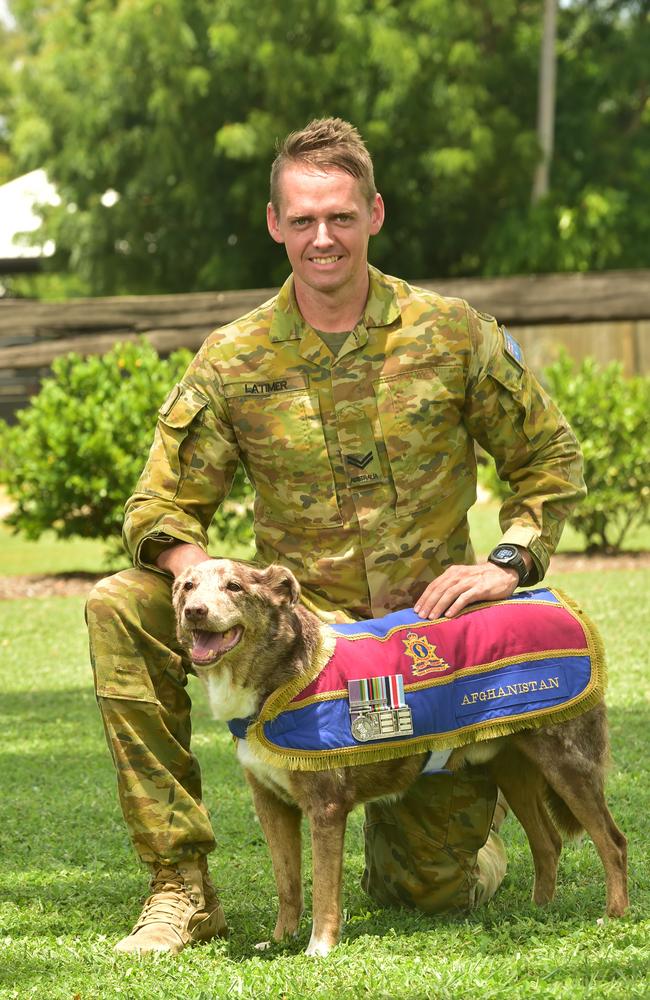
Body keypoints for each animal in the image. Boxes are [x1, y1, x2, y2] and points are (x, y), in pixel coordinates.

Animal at [170, 560, 624, 956]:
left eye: (234, 587)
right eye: (187, 587)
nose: (195, 612)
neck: (278, 680)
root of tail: (557, 599)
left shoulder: (326, 807)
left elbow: (323, 889)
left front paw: (319, 947)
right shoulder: (271, 803)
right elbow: (288, 884)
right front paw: (281, 939)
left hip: (568, 762)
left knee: (613, 842)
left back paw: (614, 916)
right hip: (512, 767)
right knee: (548, 842)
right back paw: (539, 911)